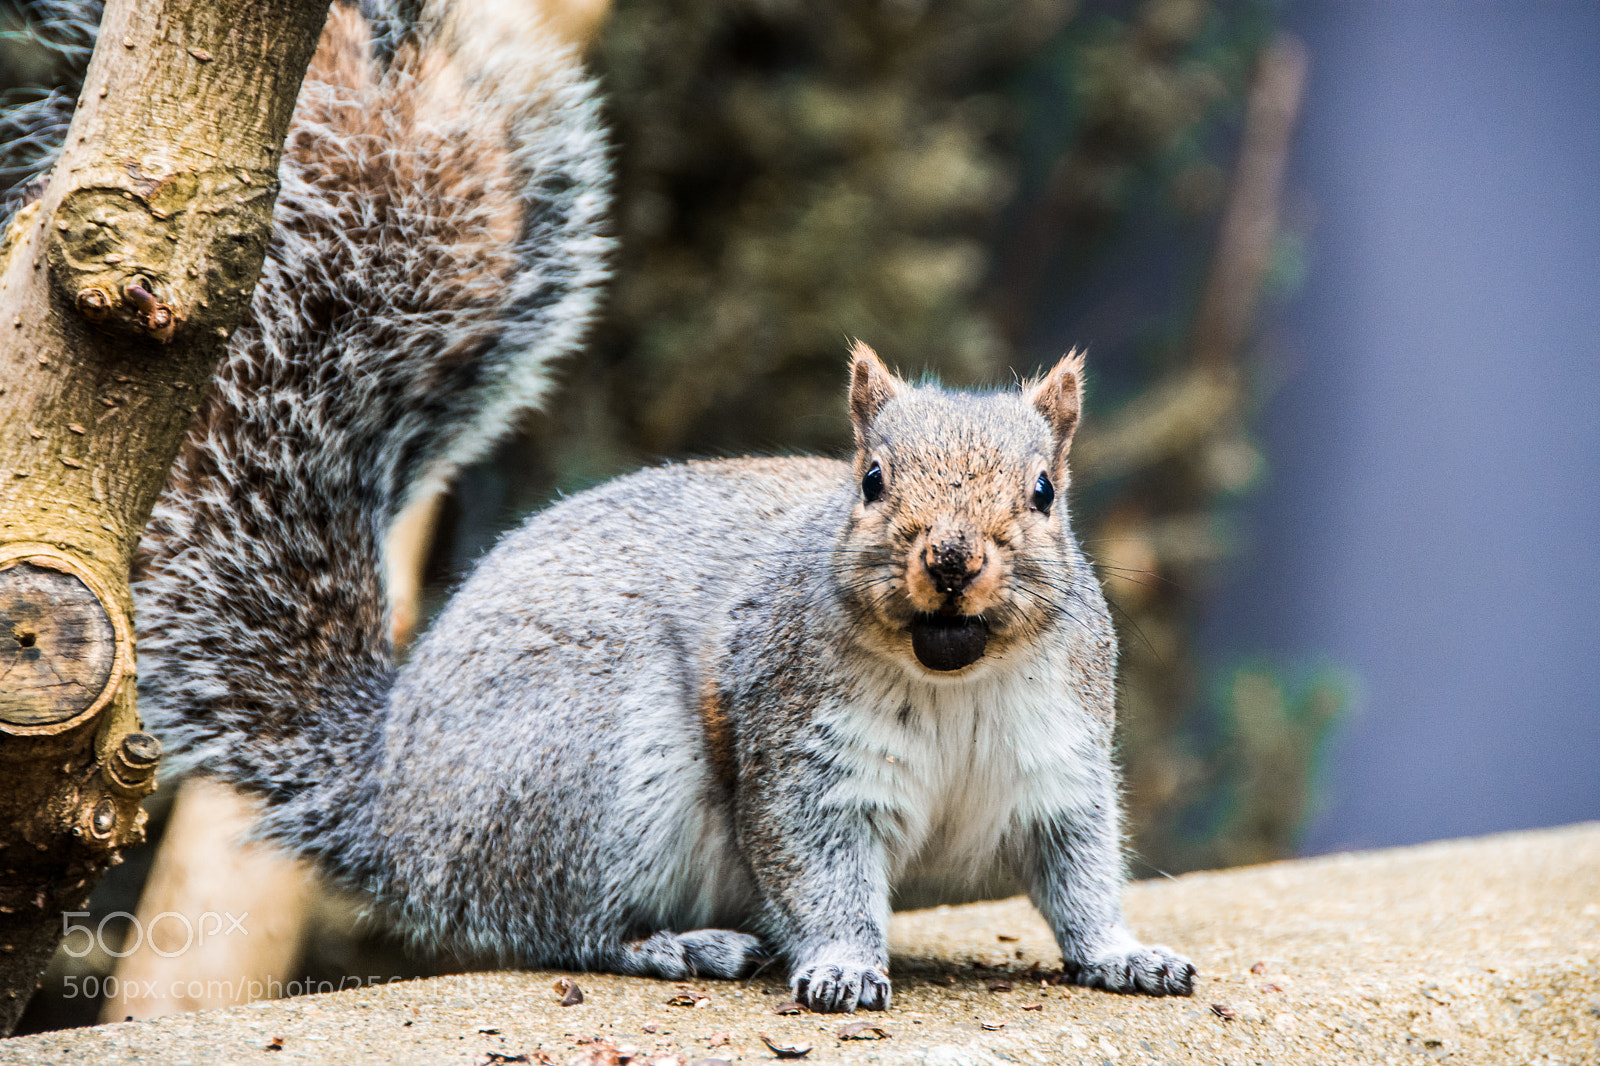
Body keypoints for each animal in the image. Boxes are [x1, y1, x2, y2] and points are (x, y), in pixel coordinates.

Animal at [7, 0, 1195, 1015]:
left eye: (1044, 492)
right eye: (869, 481)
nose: (949, 561)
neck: (952, 677)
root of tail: (393, 808)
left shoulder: (1062, 766)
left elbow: (1082, 877)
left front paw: (1127, 954)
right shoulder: (798, 762)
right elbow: (816, 875)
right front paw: (842, 967)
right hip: (596, 765)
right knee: (562, 926)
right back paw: (675, 943)